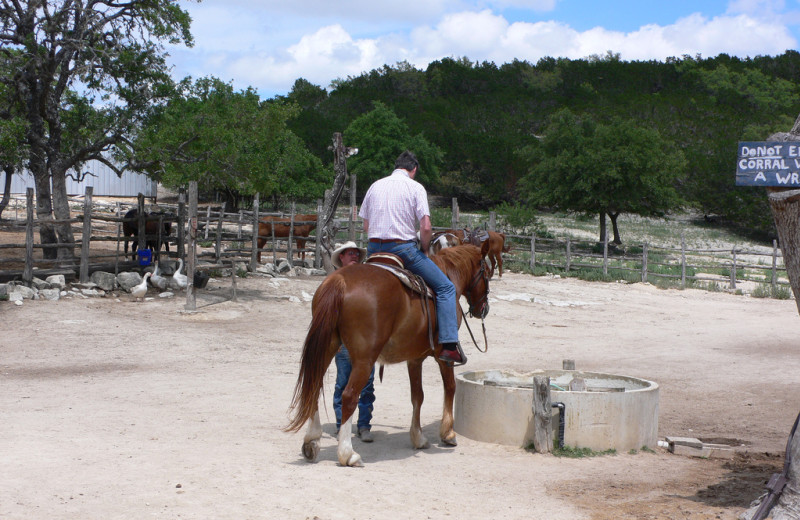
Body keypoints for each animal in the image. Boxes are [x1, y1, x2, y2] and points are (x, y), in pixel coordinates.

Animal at [284, 244, 490, 468]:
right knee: (348, 396)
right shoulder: (443, 356)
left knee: (314, 386)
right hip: (364, 360)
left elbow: (417, 396)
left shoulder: (414, 358)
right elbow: (450, 388)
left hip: (327, 348)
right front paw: (448, 433)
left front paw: (418, 437)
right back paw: (348, 454)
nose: (484, 309)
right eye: (487, 272)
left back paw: (311, 442)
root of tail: (340, 281)